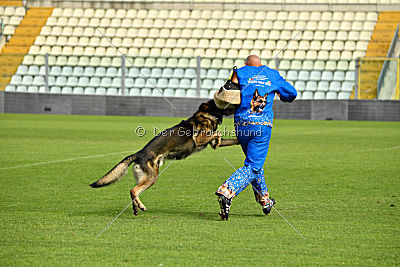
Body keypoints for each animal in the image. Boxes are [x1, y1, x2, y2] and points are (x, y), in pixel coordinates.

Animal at [90, 100, 238, 216]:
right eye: (218, 102)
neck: (206, 115)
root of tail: (139, 153)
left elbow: (229, 138)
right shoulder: (199, 139)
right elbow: (217, 133)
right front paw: (218, 140)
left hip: (149, 178)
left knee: (135, 191)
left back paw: (136, 208)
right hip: (152, 177)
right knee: (133, 190)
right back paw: (140, 206)